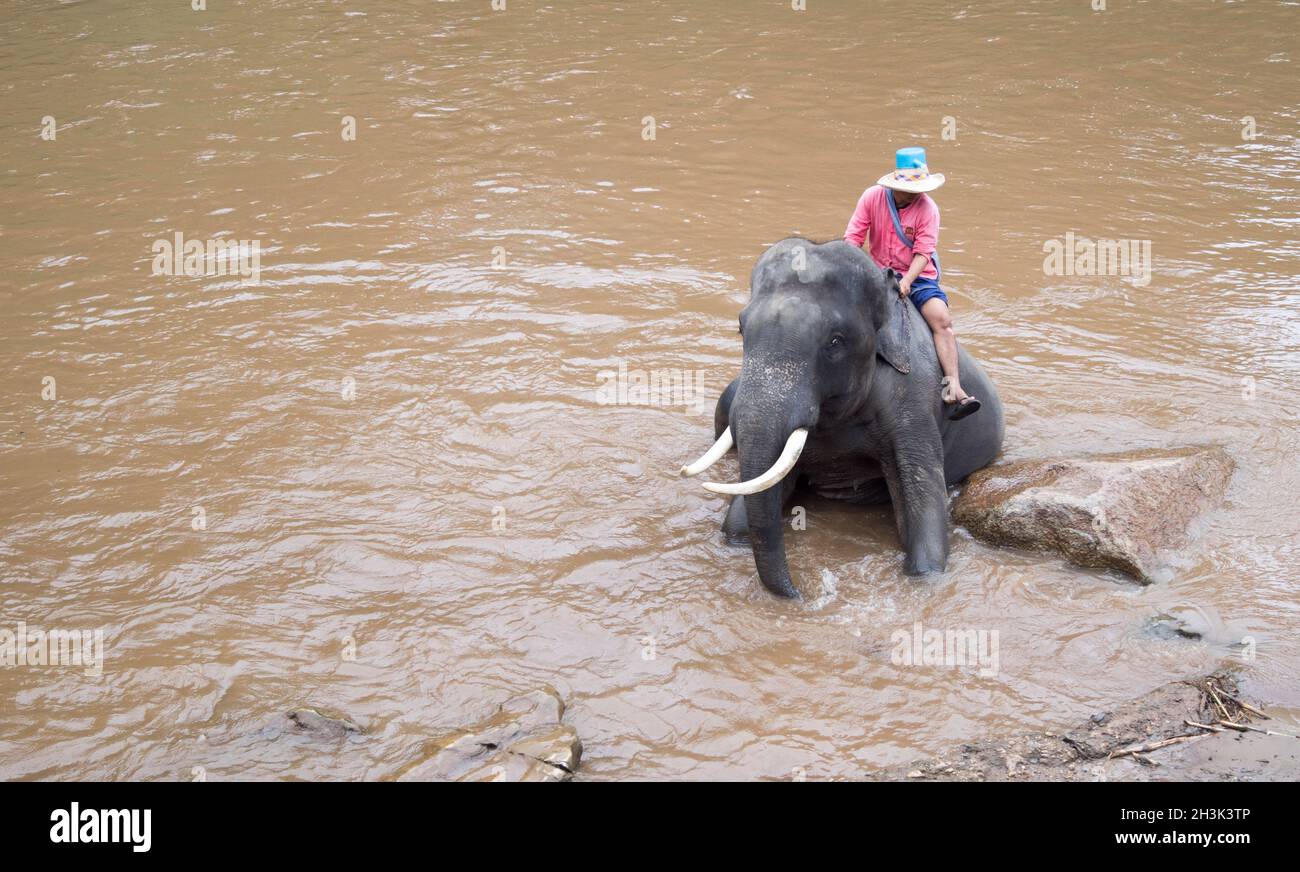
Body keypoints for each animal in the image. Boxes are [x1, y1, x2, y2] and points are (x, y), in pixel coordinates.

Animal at [681, 235, 1003, 597]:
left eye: (835, 342)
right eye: (740, 327)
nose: (801, 593)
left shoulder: (913, 399)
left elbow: (923, 502)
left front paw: (925, 575)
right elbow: (746, 509)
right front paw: (736, 533)